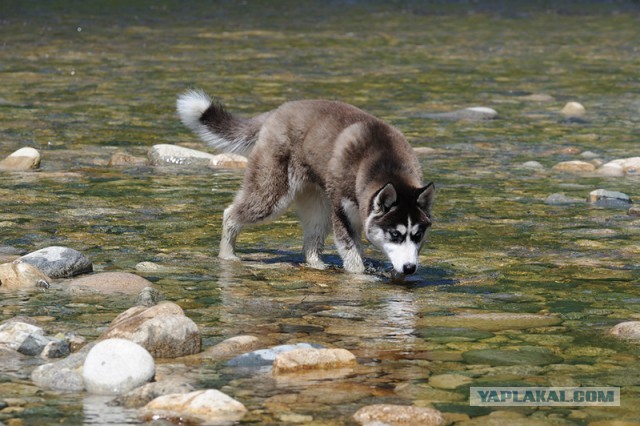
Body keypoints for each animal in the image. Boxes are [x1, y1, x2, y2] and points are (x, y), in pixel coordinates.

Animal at [178, 90, 432, 276]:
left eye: (418, 235)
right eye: (395, 234)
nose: (410, 269)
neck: (383, 159)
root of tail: (279, 110)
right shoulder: (343, 215)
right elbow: (353, 259)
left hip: (319, 208)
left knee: (310, 244)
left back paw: (317, 265)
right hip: (272, 196)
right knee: (231, 213)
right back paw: (227, 254)